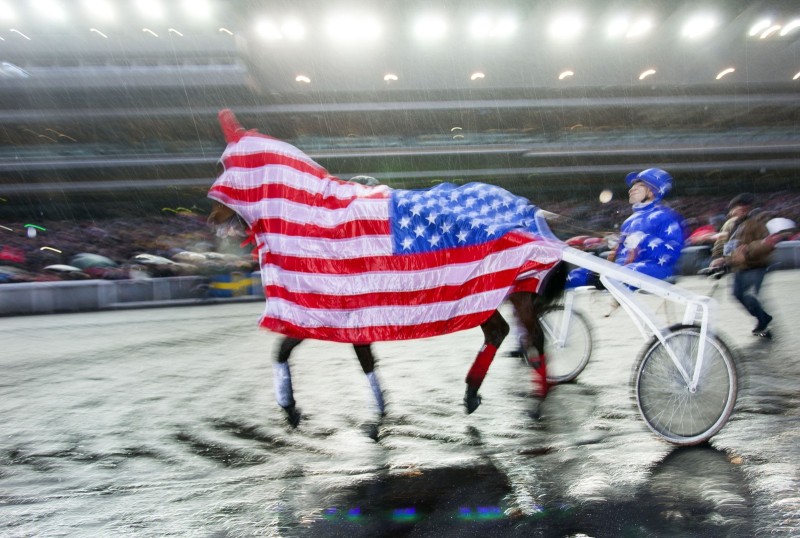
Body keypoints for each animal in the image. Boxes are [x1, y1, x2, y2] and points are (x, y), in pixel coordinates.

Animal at [206, 109, 568, 426]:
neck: (315, 217)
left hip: (508, 287)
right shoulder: (323, 309)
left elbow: (356, 358)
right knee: (500, 332)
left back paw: (537, 401)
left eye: (223, 166)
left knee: (534, 338)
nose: (210, 217)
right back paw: (472, 392)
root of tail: (529, 208)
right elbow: (285, 352)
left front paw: (375, 416)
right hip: (481, 291)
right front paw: (291, 407)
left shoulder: (344, 307)